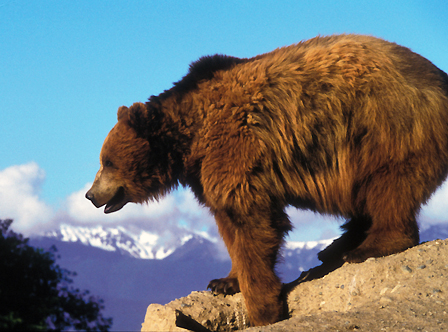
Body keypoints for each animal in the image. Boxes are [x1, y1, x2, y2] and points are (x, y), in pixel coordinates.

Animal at [86, 34, 448, 326]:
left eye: (107, 162)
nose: (90, 195)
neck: (190, 138)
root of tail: (439, 78)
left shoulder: (235, 147)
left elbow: (252, 222)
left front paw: (263, 309)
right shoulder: (208, 172)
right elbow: (229, 225)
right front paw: (224, 282)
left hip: (384, 126)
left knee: (389, 184)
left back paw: (368, 247)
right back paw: (336, 246)